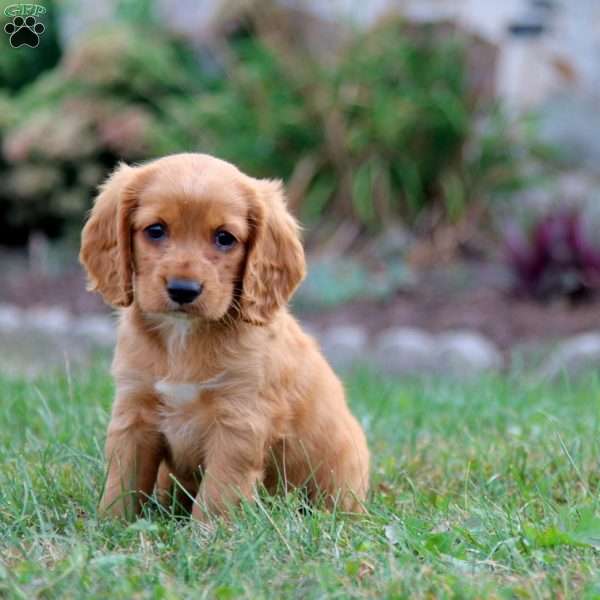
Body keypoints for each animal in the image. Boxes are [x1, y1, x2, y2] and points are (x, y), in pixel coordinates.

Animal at [79, 154, 370, 520]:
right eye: (155, 230)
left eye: (224, 238)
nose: (183, 290)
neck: (184, 336)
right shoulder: (134, 410)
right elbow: (122, 480)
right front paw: (112, 524)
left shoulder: (239, 422)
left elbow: (217, 492)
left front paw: (207, 532)